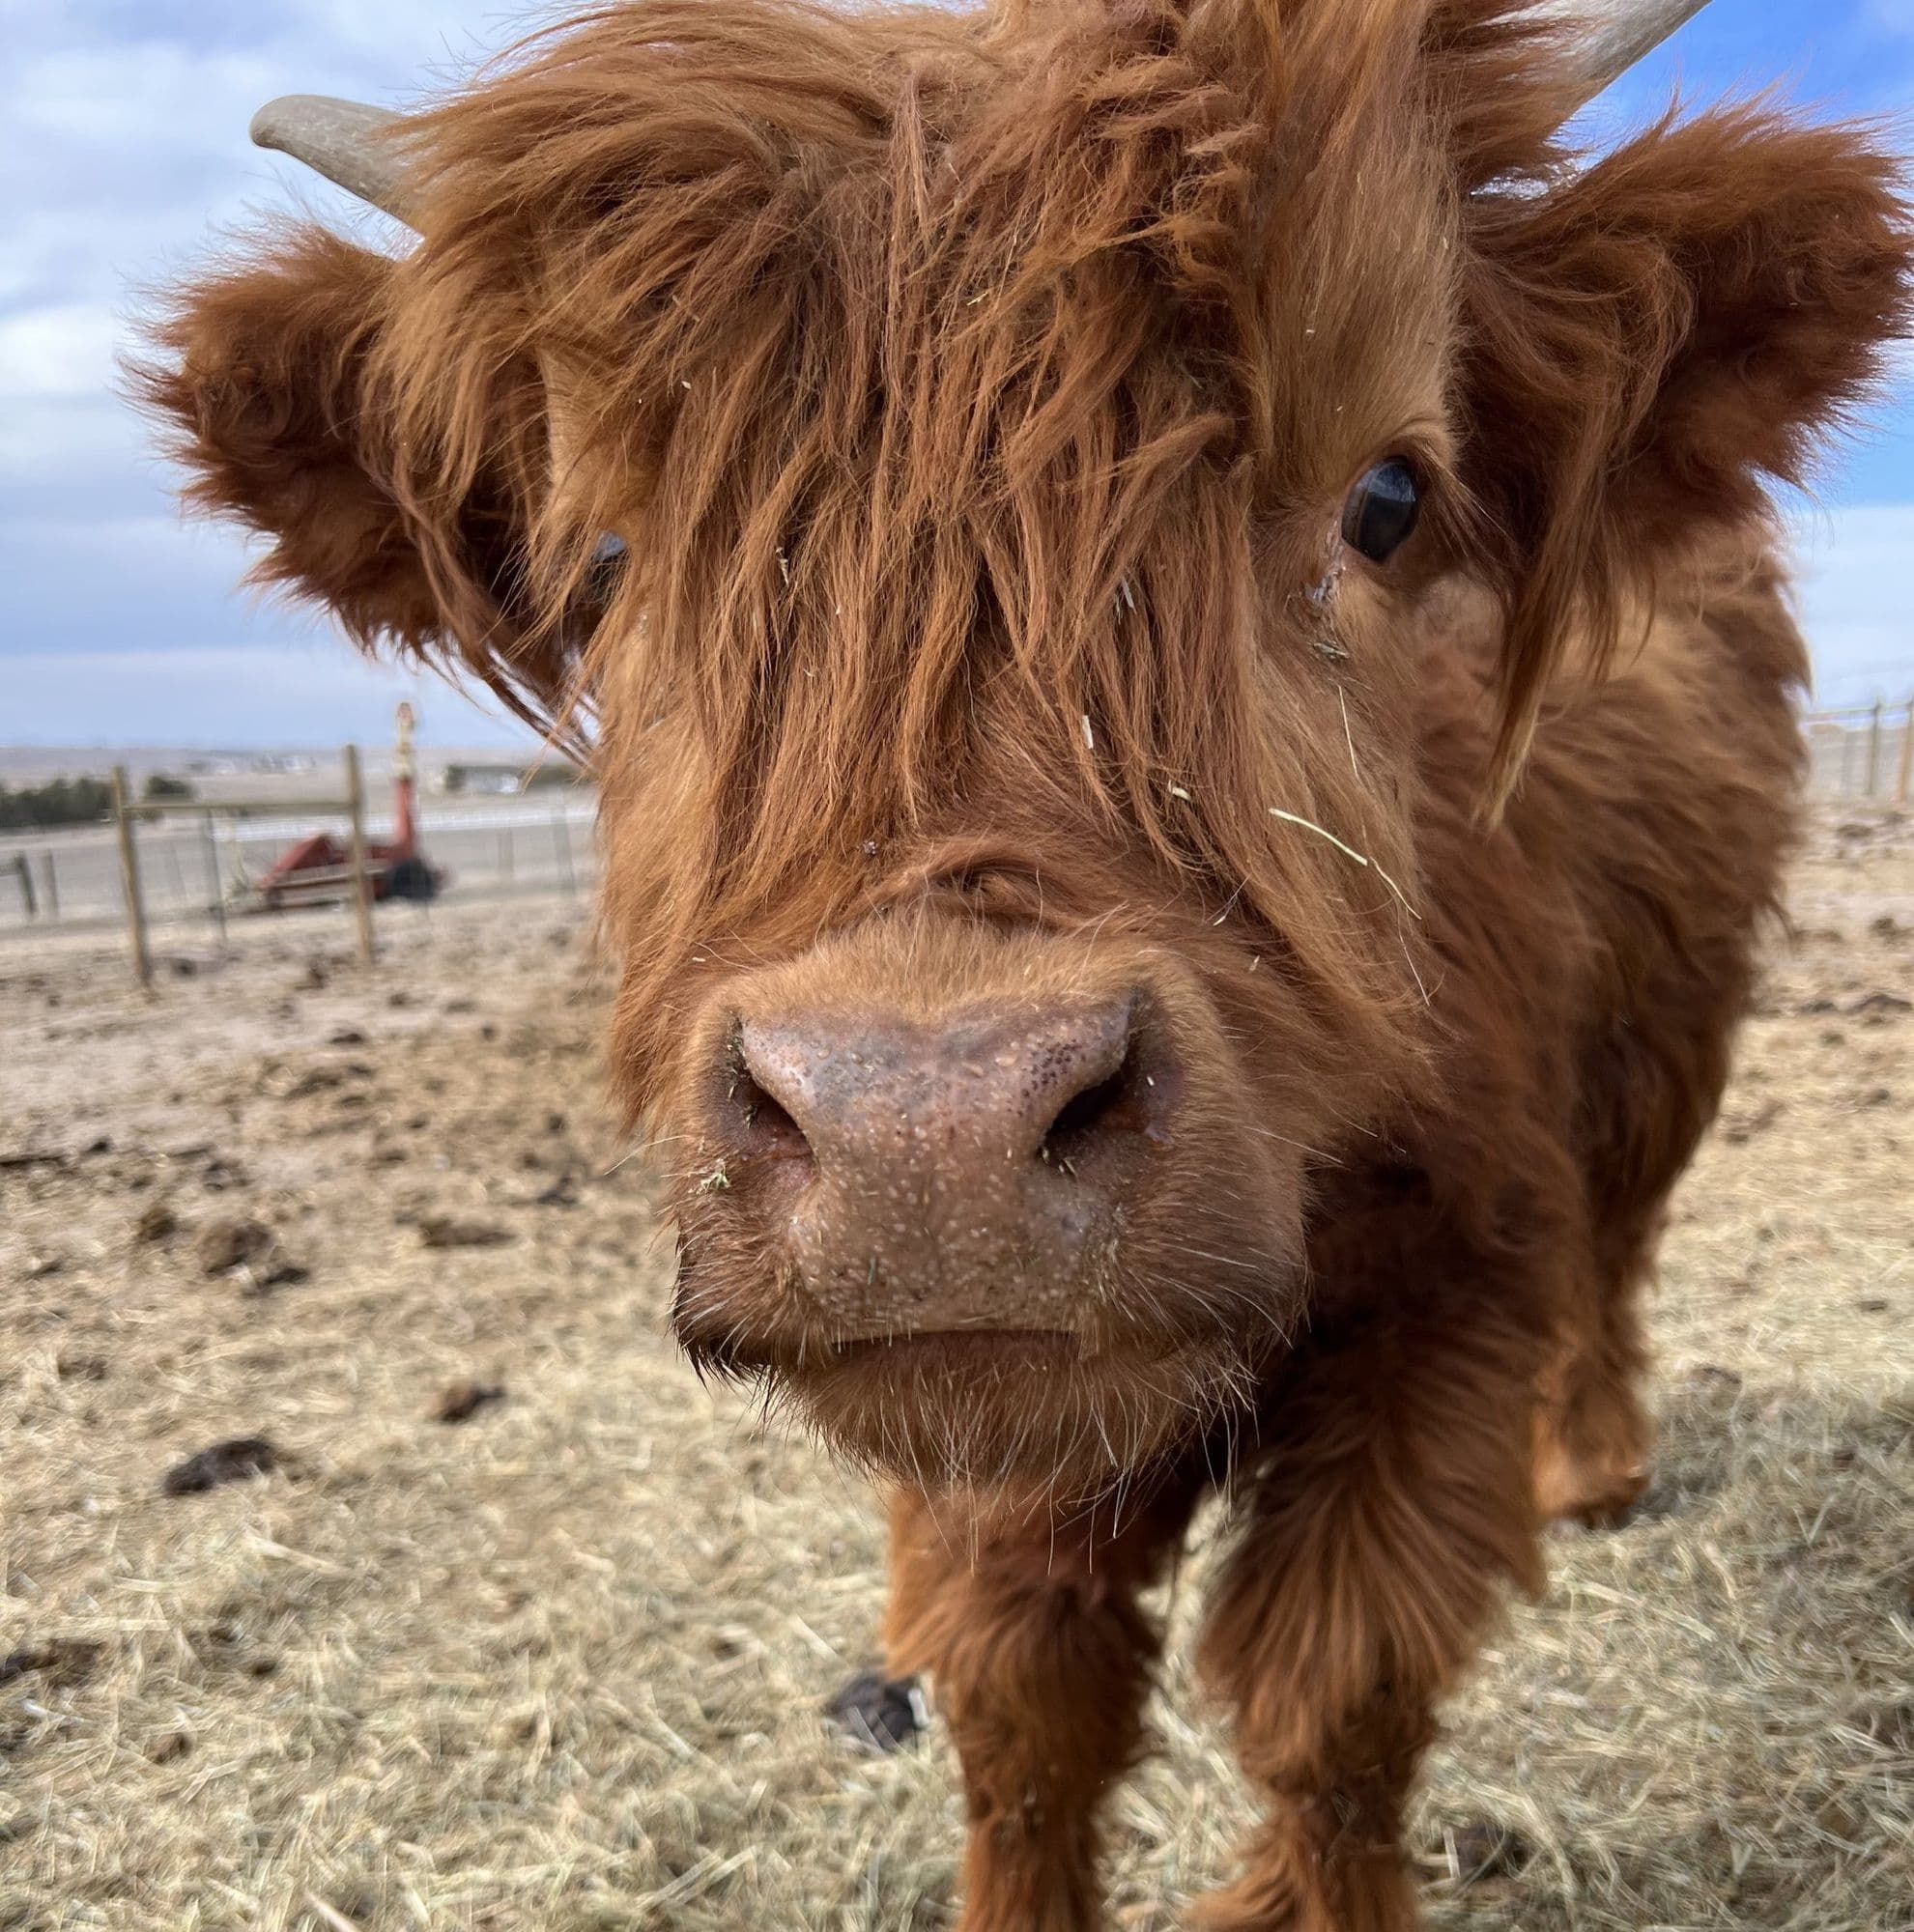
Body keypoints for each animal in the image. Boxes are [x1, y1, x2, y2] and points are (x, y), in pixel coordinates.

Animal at [140, 0, 1912, 1923]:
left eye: (1386, 498)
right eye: (601, 559)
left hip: (1662, 1060)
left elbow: (1337, 1707)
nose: (932, 1139)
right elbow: (1024, 1712)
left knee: (1621, 1253)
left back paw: (1592, 1466)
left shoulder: (1452, 1285)